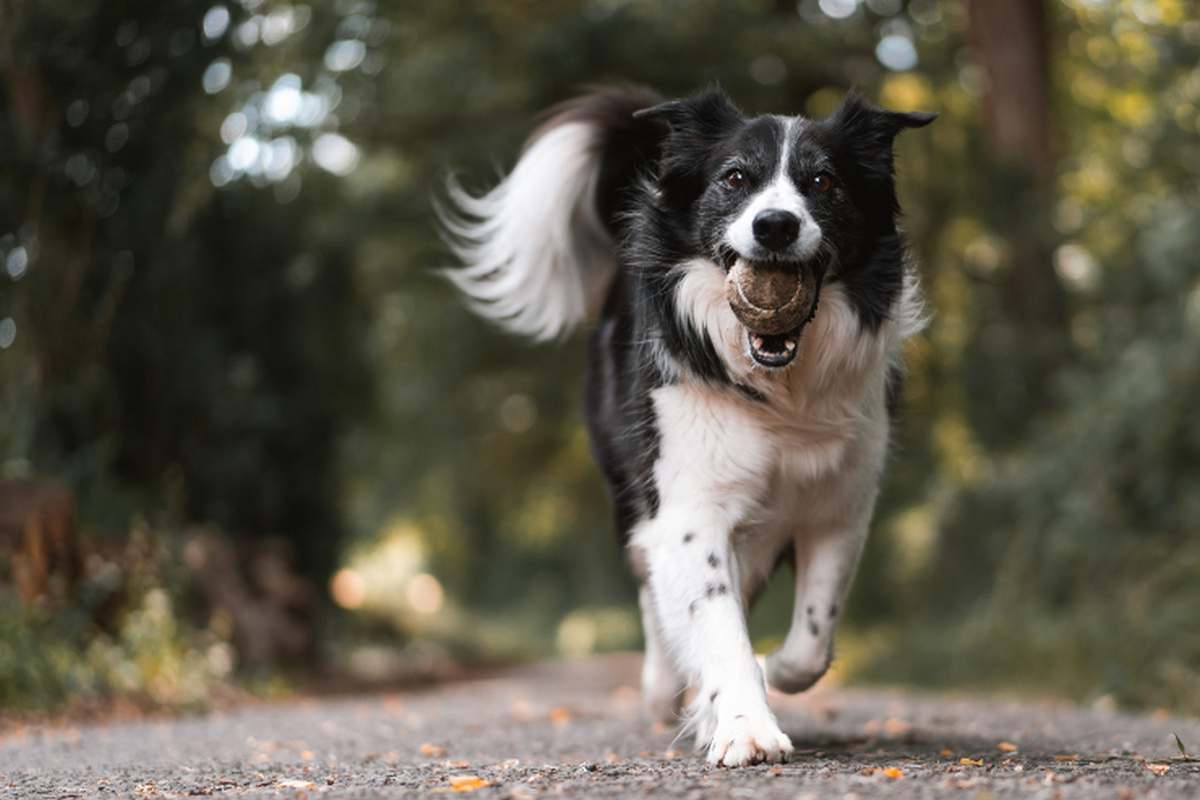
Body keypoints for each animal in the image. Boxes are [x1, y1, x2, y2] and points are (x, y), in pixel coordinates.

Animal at [441, 84, 936, 767]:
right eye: (734, 178)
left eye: (823, 182)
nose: (775, 224)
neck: (780, 388)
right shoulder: (688, 505)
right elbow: (716, 623)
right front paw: (745, 727)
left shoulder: (840, 505)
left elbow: (811, 641)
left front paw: (764, 678)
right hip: (632, 491)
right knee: (654, 592)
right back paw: (663, 689)